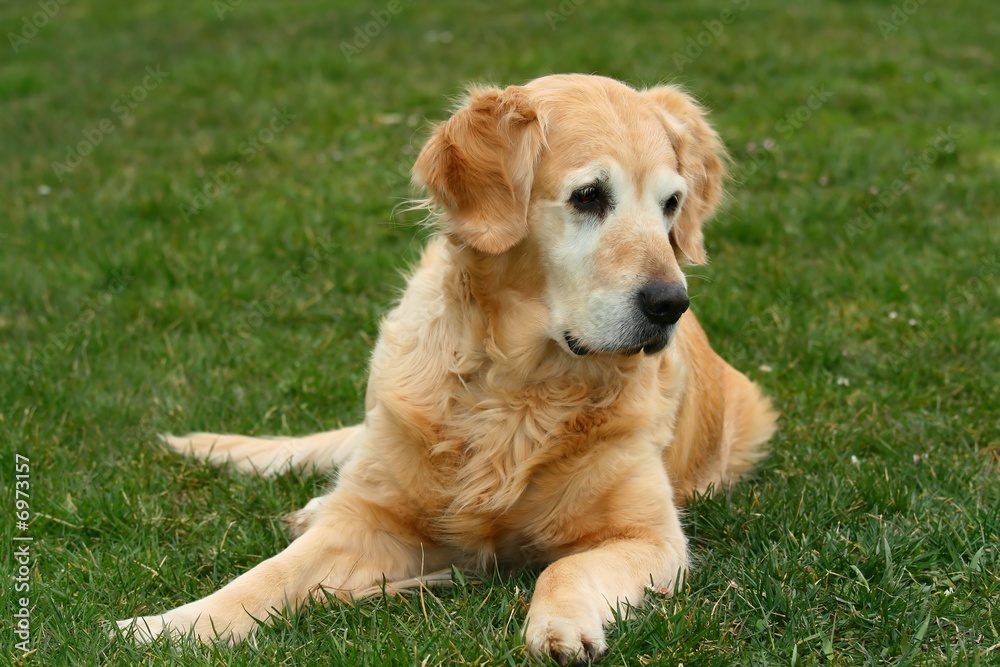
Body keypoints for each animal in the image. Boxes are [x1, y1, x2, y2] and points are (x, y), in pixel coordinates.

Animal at [115, 73, 772, 664]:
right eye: (589, 196)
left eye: (672, 204)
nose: (669, 303)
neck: (517, 387)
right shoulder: (368, 526)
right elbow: (267, 575)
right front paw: (168, 625)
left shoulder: (649, 537)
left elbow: (564, 569)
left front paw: (560, 626)